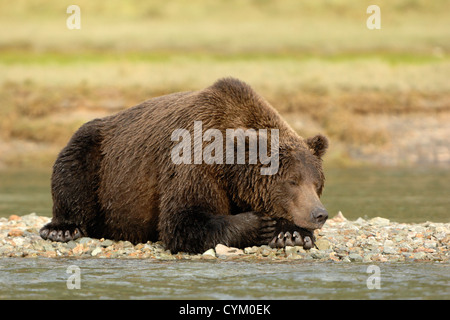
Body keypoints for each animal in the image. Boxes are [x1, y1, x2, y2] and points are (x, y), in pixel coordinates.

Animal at [40, 77, 328, 252]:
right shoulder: (197, 165)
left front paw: (293, 234)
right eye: (291, 181)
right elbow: (183, 220)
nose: (320, 214)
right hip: (97, 156)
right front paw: (259, 223)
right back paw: (62, 229)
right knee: (72, 173)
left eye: (317, 183)